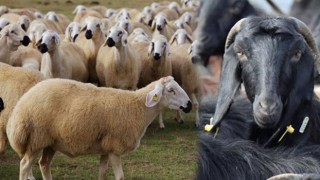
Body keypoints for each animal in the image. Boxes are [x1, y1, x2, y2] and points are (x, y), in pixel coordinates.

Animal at [6, 75, 191, 180]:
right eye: (171, 90)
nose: (189, 105)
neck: (138, 107)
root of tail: (21, 104)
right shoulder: (115, 148)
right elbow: (120, 177)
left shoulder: (105, 148)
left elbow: (102, 173)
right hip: (36, 139)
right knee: (24, 166)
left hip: (51, 143)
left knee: (44, 165)